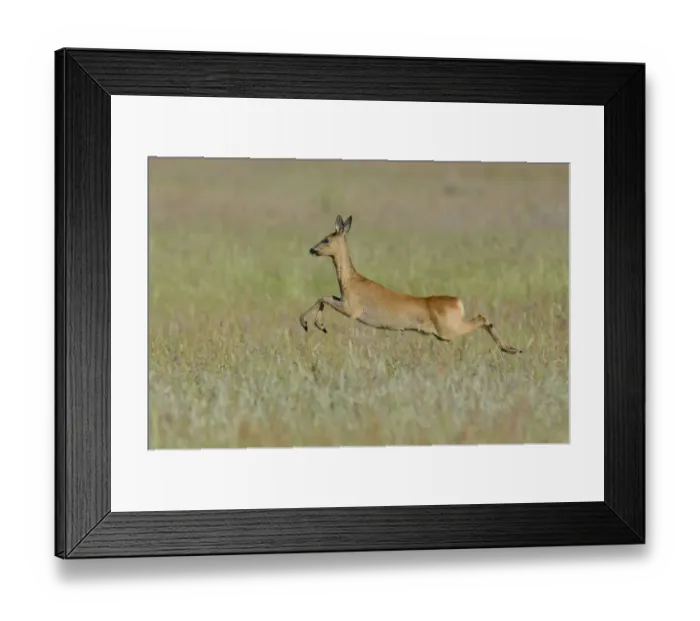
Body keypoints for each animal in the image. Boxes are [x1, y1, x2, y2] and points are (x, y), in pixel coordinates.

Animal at [299, 215, 522, 354]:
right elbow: (325, 297)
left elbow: (323, 297)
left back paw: (510, 348)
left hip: (449, 332)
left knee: (482, 318)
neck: (352, 280)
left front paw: (310, 324)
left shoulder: (351, 310)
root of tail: (457, 301)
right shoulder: (343, 302)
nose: (311, 249)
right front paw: (318, 325)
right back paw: (512, 349)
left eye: (327, 239)